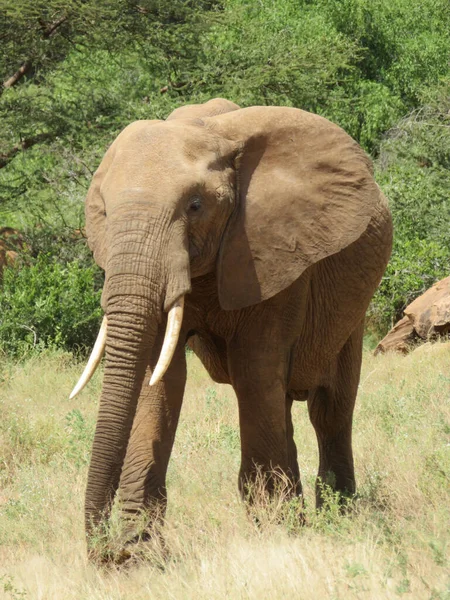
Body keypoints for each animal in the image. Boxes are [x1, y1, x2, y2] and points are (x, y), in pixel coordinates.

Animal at [72, 97, 392, 552]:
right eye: (102, 210)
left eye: (195, 206)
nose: (104, 553)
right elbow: (160, 377)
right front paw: (140, 552)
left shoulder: (276, 253)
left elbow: (253, 370)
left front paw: (277, 536)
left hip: (354, 306)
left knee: (329, 407)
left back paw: (338, 517)